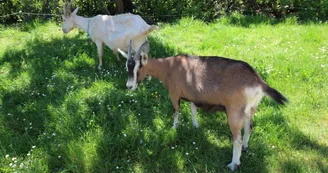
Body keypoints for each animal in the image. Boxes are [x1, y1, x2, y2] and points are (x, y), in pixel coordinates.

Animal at [118, 40, 288, 170]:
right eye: (127, 66)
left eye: (138, 67)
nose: (129, 86)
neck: (169, 66)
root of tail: (258, 81)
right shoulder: (193, 97)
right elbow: (193, 110)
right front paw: (195, 126)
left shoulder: (174, 94)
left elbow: (176, 111)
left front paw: (174, 128)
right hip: (250, 109)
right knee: (249, 128)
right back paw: (246, 148)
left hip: (234, 113)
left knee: (236, 139)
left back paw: (233, 164)